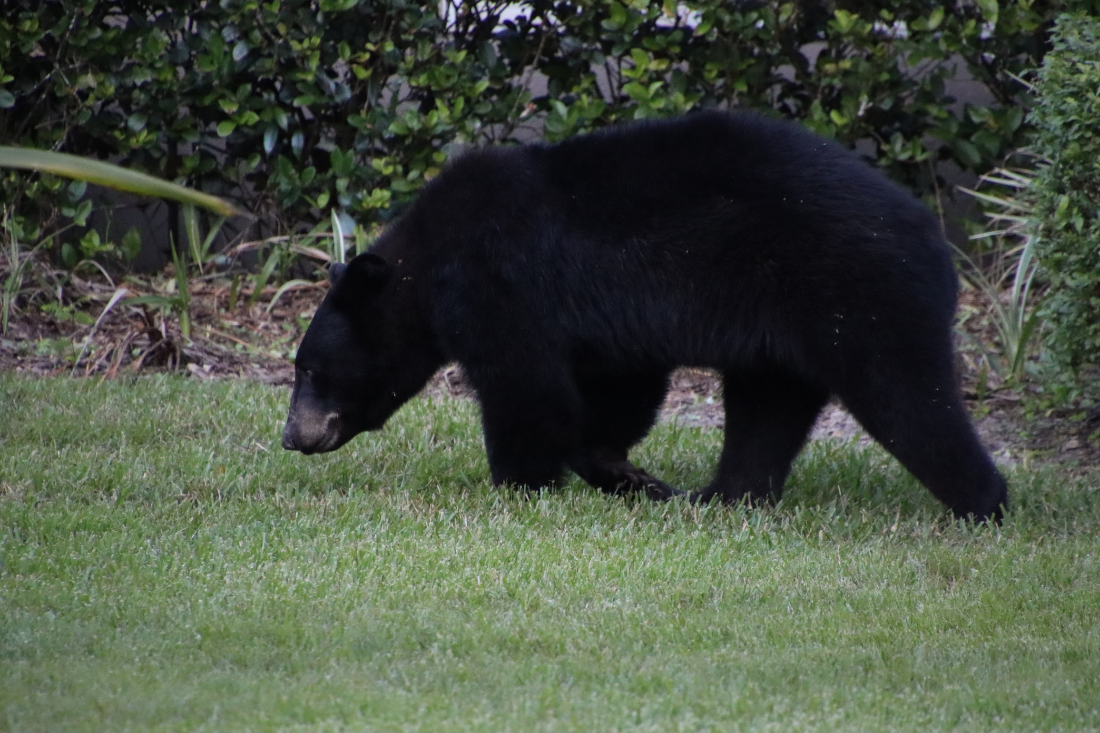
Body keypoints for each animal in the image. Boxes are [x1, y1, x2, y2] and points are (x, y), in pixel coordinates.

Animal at [281, 108, 1007, 519]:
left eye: (309, 370)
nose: (292, 436)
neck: (427, 265)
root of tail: (935, 241)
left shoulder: (502, 284)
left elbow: (528, 389)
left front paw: (520, 485)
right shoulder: (606, 327)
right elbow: (619, 388)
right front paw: (628, 475)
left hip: (859, 292)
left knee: (907, 398)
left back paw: (982, 506)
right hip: (783, 329)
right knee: (766, 411)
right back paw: (722, 498)